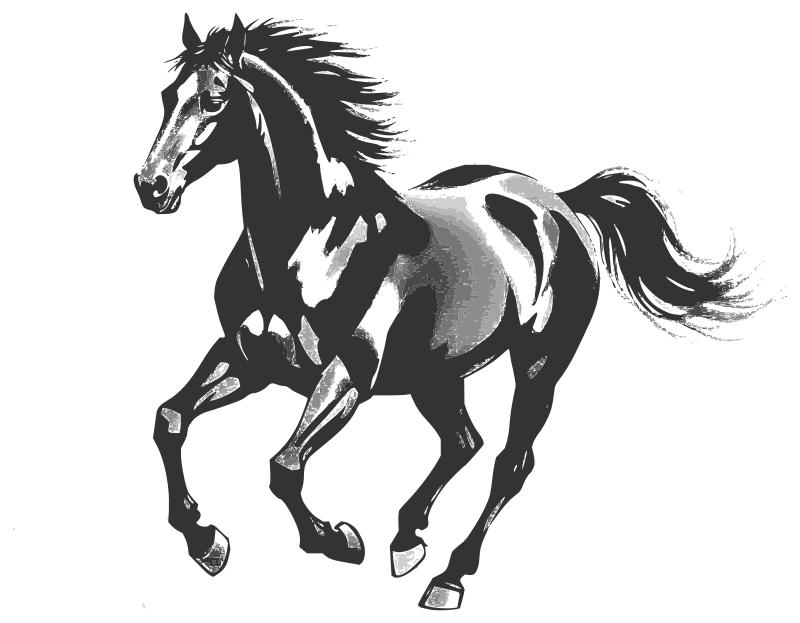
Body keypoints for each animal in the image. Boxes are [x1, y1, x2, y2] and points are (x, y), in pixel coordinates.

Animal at [133, 14, 768, 610]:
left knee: (510, 463)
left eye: (216, 99)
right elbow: (170, 420)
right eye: (167, 94)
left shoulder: (348, 377)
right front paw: (205, 540)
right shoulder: (248, 359)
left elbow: (284, 467)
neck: (310, 246)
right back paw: (406, 540)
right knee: (463, 442)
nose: (151, 187)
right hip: (435, 374)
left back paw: (447, 578)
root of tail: (558, 203)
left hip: (537, 366)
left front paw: (339, 540)